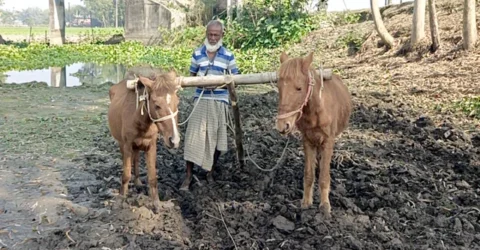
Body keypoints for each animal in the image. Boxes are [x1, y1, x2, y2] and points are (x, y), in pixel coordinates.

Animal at [108, 69, 181, 213]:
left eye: (177, 102)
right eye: (157, 105)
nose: (174, 140)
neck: (139, 119)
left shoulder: (151, 146)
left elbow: (152, 177)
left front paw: (156, 204)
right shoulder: (127, 145)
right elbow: (125, 174)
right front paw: (120, 200)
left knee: (136, 159)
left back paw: (137, 182)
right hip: (122, 144)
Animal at [276, 51, 350, 218]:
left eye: (299, 88)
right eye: (279, 87)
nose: (282, 125)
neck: (316, 112)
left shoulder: (328, 142)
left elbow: (324, 177)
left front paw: (325, 206)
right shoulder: (307, 141)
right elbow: (309, 174)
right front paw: (306, 202)